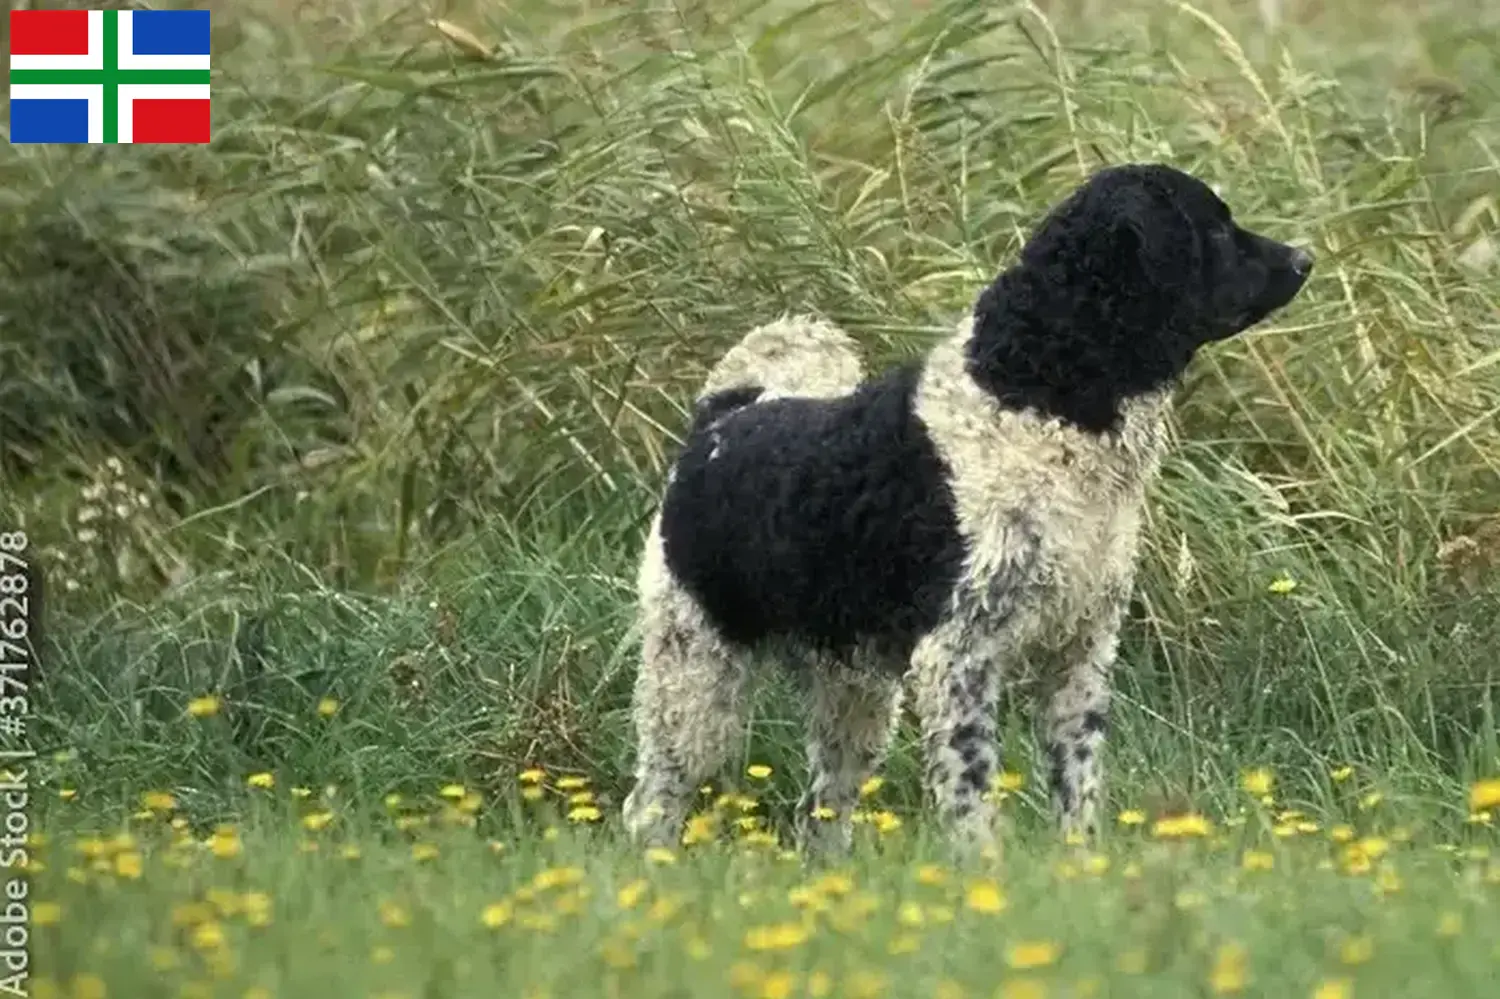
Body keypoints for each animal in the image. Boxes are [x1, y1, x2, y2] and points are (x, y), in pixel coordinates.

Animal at [621, 161, 1314, 846]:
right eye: (1215, 229)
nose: (1305, 257)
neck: (1038, 397)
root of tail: (722, 419)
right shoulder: (958, 654)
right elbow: (973, 797)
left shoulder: (1081, 653)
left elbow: (1078, 792)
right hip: (693, 677)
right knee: (651, 804)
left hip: (852, 694)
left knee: (820, 813)